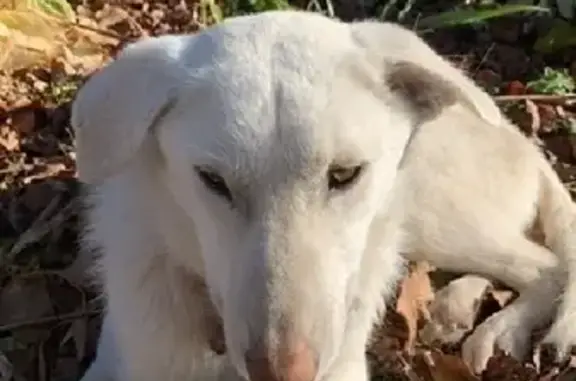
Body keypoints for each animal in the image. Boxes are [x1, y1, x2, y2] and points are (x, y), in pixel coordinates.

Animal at [71, 8, 572, 380]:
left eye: (346, 174)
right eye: (212, 180)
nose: (282, 374)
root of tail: (521, 138)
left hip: (430, 211)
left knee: (544, 265)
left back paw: (497, 329)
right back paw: (457, 308)